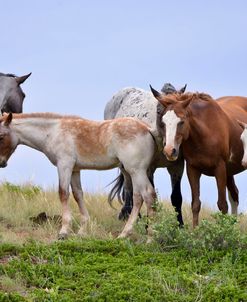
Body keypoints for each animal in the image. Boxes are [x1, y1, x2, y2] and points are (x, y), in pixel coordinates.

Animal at [0, 113, 156, 241]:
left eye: (1, 136)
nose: (1, 163)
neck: (53, 132)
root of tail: (147, 128)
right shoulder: (75, 170)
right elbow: (78, 195)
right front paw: (82, 230)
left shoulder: (64, 165)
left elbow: (63, 193)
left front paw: (63, 231)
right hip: (133, 172)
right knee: (138, 197)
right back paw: (126, 234)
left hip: (136, 171)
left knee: (148, 195)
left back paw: (148, 237)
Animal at [103, 84, 186, 225]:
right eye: (158, 111)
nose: (169, 149)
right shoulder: (149, 168)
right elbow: (151, 198)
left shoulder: (177, 167)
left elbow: (176, 197)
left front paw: (180, 225)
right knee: (128, 186)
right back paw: (129, 214)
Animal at [150, 86, 247, 228]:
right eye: (163, 121)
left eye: (181, 121)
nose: (169, 151)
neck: (205, 133)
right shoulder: (193, 169)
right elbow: (195, 204)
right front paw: (195, 230)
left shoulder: (220, 169)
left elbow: (222, 205)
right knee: (234, 195)